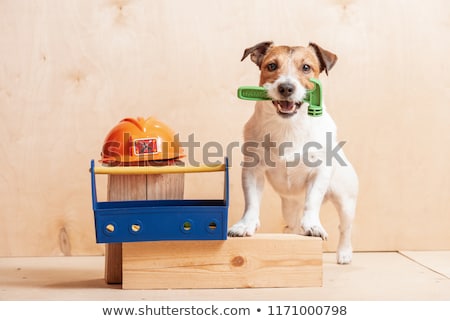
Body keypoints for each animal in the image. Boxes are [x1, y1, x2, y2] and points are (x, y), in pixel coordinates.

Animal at [229, 41, 358, 264]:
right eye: (272, 66)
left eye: (306, 67)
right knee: (292, 223)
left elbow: (312, 201)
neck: (288, 126)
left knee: (345, 228)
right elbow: (251, 202)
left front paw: (313, 225)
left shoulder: (319, 173)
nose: (286, 87)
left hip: (346, 200)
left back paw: (344, 252)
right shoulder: (252, 171)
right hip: (289, 206)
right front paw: (245, 224)